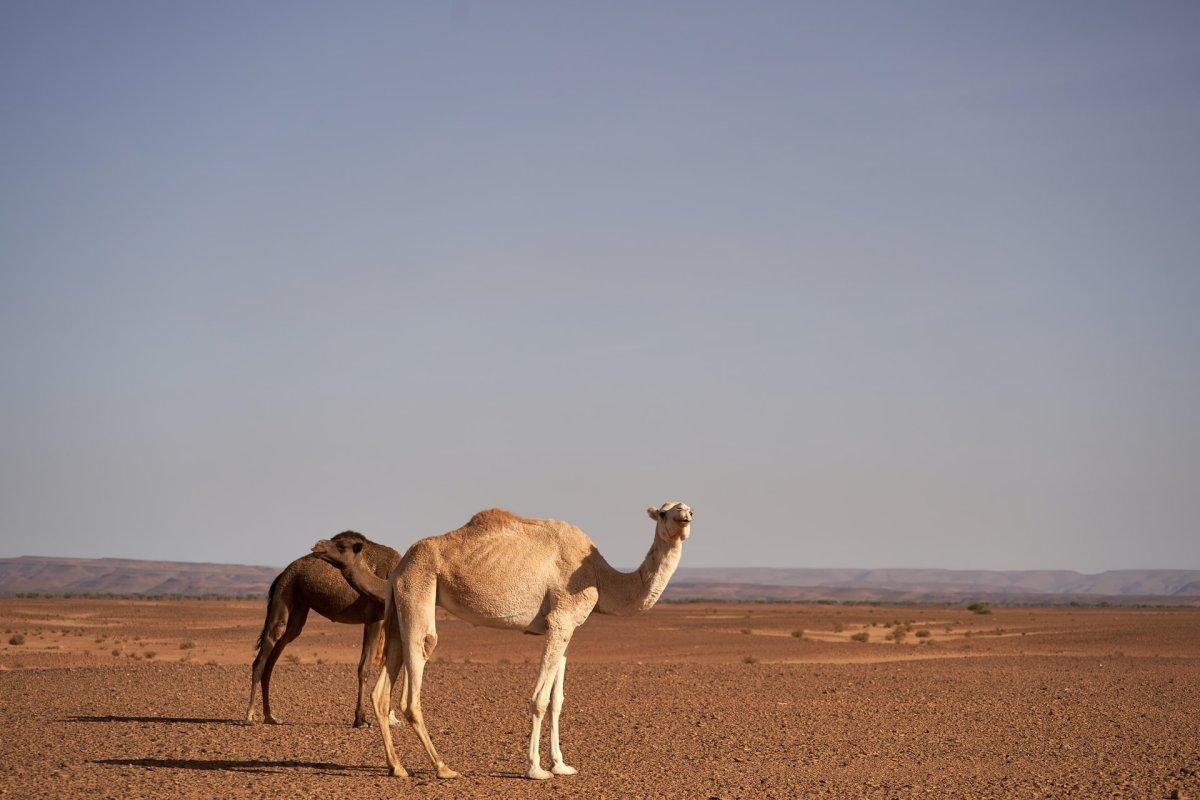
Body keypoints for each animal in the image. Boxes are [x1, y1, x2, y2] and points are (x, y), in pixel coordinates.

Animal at [246, 527, 400, 729]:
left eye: (341, 545)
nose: (318, 545)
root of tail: (282, 573)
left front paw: (391, 718)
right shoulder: (374, 618)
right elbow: (365, 667)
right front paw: (361, 720)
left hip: (299, 605)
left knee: (277, 652)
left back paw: (270, 716)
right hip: (285, 590)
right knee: (267, 647)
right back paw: (250, 715)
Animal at [309, 501, 696, 782]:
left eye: (687, 506)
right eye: (665, 511)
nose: (685, 517)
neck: (599, 576)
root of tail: (401, 564)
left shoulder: (566, 628)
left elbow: (558, 701)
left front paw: (561, 765)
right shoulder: (560, 620)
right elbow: (540, 700)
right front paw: (536, 770)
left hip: (396, 607)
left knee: (383, 687)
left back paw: (398, 767)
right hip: (418, 590)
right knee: (413, 684)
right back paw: (443, 767)